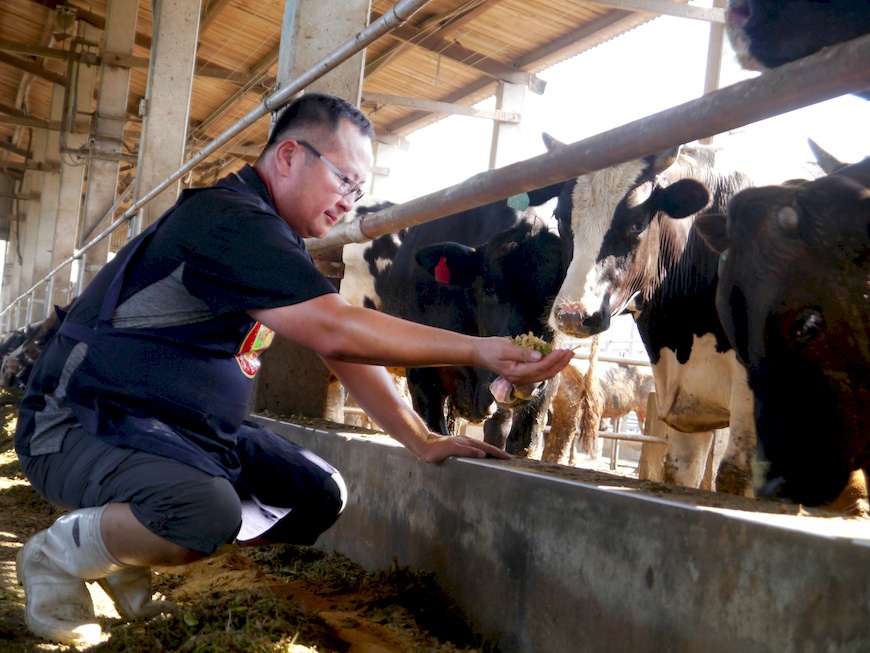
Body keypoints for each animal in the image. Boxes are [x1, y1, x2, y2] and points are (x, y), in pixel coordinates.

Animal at [548, 138, 768, 494]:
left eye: (637, 223)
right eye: (559, 217)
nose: (572, 315)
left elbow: (735, 475)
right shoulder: (689, 405)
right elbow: (678, 470)